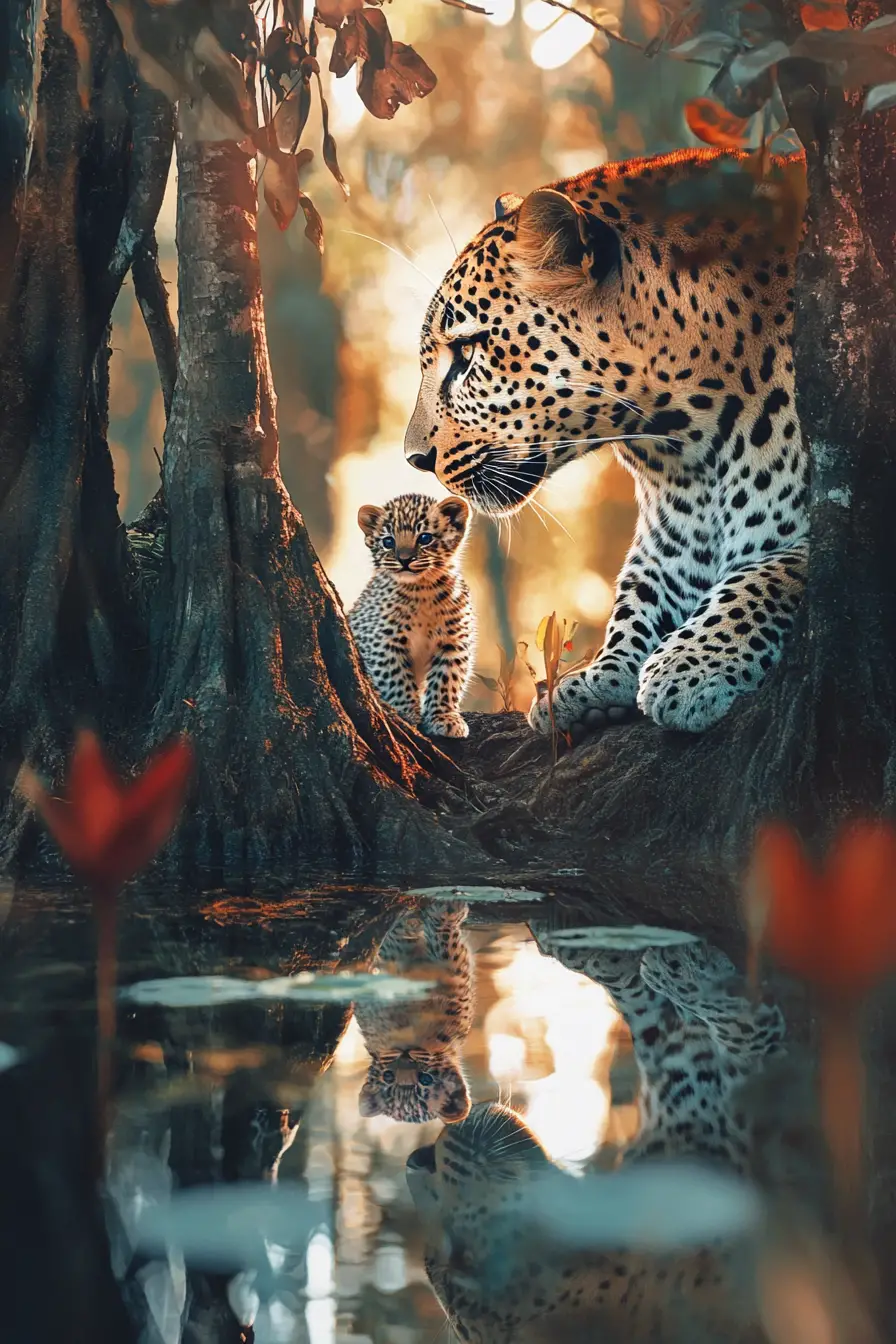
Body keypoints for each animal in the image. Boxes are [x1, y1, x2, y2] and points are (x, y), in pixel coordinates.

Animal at [348, 492, 475, 738]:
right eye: (388, 541)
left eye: (425, 537)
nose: (404, 559)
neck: (423, 589)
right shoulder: (382, 641)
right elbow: (395, 679)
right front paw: (407, 714)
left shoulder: (453, 642)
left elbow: (447, 680)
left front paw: (444, 718)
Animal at [354, 899, 473, 1123]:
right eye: (388, 1077)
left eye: (425, 1080)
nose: (405, 1054)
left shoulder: (457, 989)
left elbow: (446, 947)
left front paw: (447, 912)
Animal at [403, 147, 809, 737]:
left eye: (468, 351)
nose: (415, 458)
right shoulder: (669, 544)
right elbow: (635, 597)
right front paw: (596, 677)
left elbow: (770, 574)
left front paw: (691, 667)